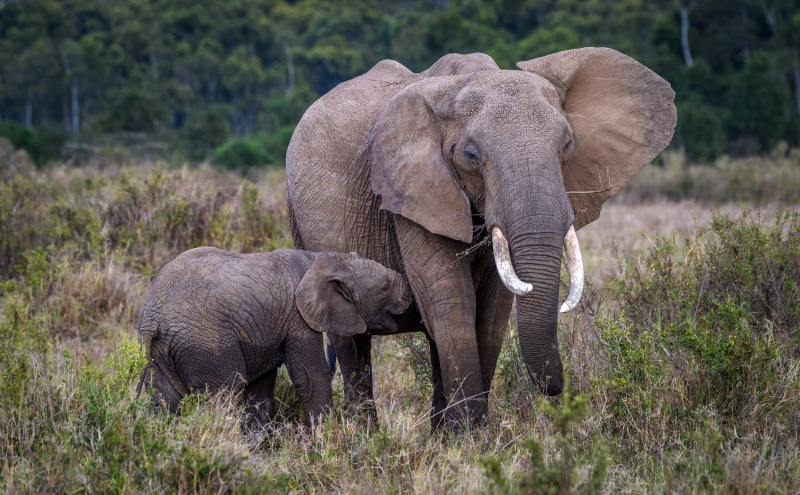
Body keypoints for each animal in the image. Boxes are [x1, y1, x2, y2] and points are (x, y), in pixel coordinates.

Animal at [136, 247, 412, 426]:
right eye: (385, 288)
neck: (322, 258)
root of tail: (152, 319)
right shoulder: (298, 318)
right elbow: (310, 378)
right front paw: (328, 443)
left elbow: (261, 391)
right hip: (207, 345)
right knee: (224, 396)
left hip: (160, 353)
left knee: (164, 401)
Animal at [286, 48, 676, 429]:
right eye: (471, 156)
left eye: (567, 144)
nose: (559, 391)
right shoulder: (412, 194)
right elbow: (450, 302)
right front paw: (469, 439)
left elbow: (492, 314)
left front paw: (469, 438)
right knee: (353, 345)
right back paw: (366, 437)